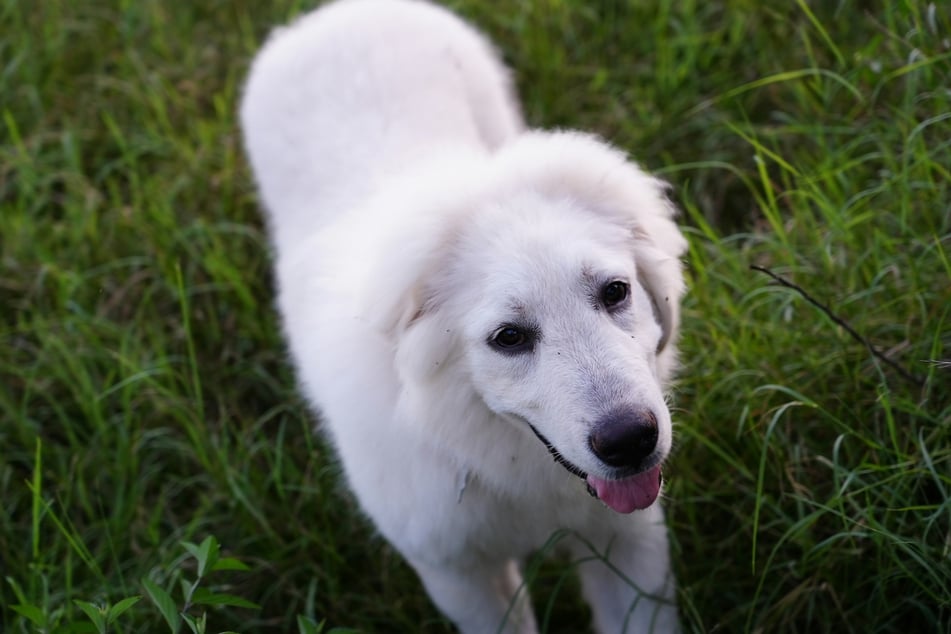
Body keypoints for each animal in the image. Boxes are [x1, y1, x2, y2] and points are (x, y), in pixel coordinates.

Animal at [238, 1, 684, 632]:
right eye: (509, 337)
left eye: (616, 291)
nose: (631, 442)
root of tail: (336, 13)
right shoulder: (460, 576)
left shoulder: (628, 542)